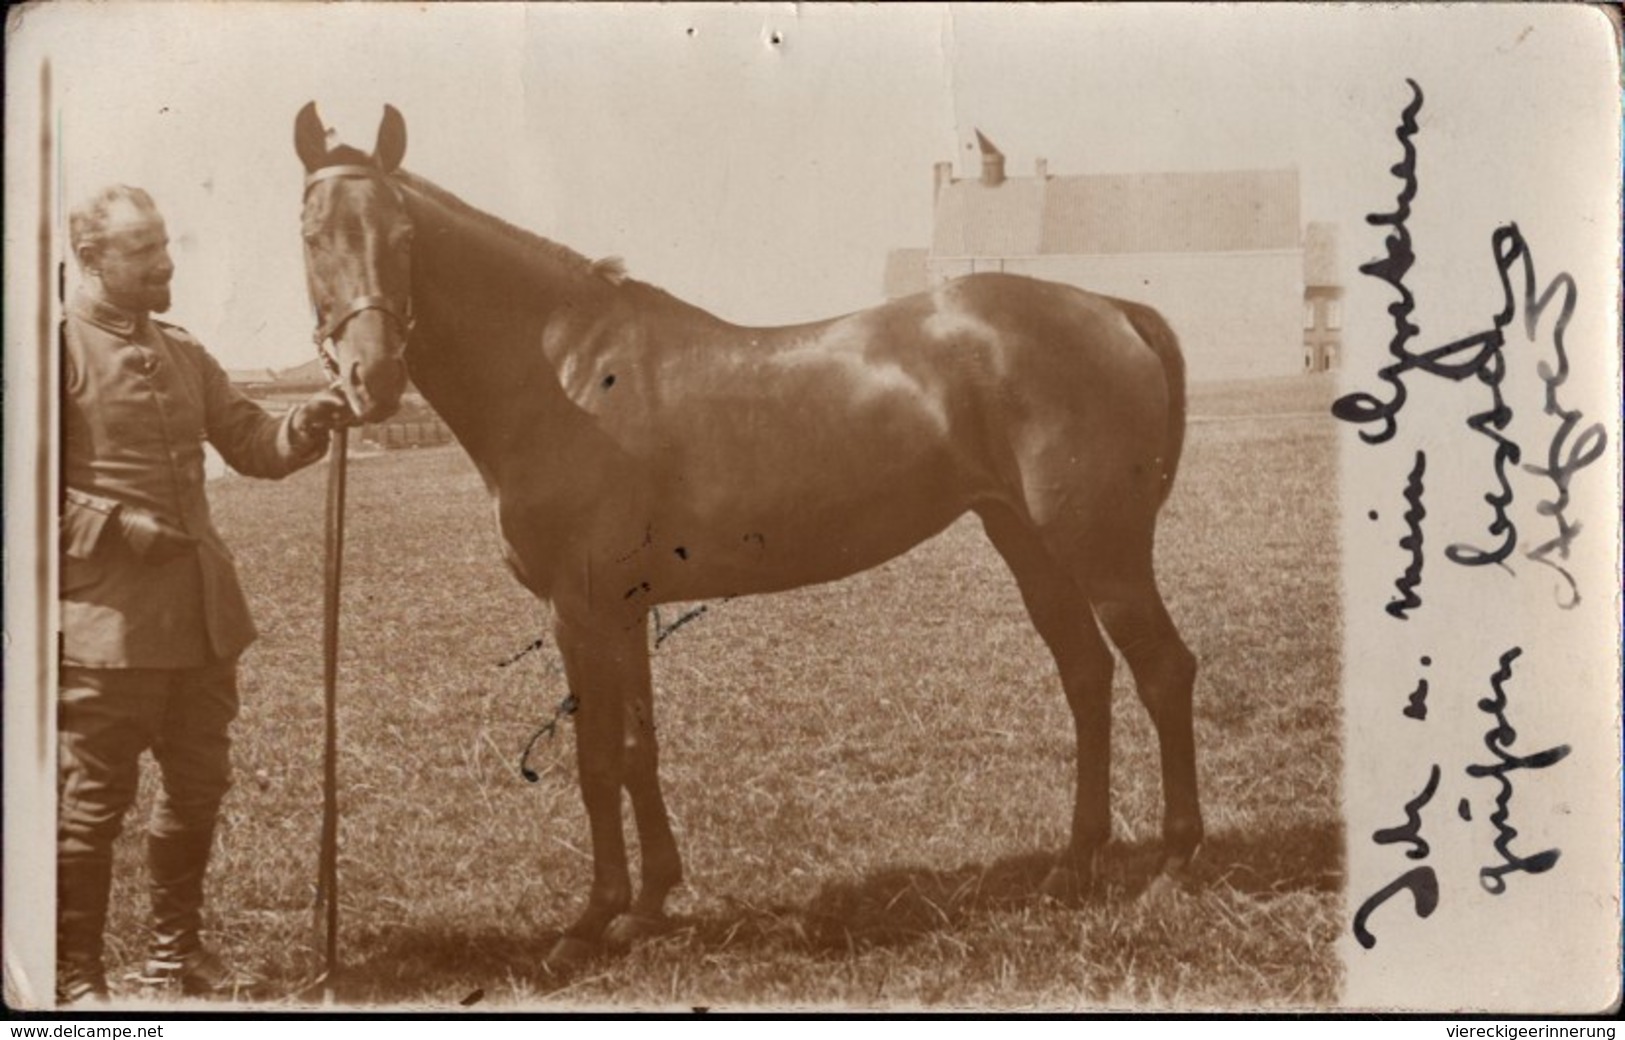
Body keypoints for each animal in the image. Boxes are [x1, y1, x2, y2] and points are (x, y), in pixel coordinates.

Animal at [299, 103, 1202, 968]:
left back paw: (1172, 863)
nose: (372, 379)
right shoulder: (624, 610)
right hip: (1027, 543)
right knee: (1085, 674)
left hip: (1101, 550)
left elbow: (595, 762)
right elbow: (638, 749)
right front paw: (648, 906)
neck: (565, 377)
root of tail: (1113, 311)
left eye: (404, 237)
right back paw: (1075, 861)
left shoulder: (578, 610)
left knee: (1161, 670)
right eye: (312, 237)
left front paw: (588, 924)